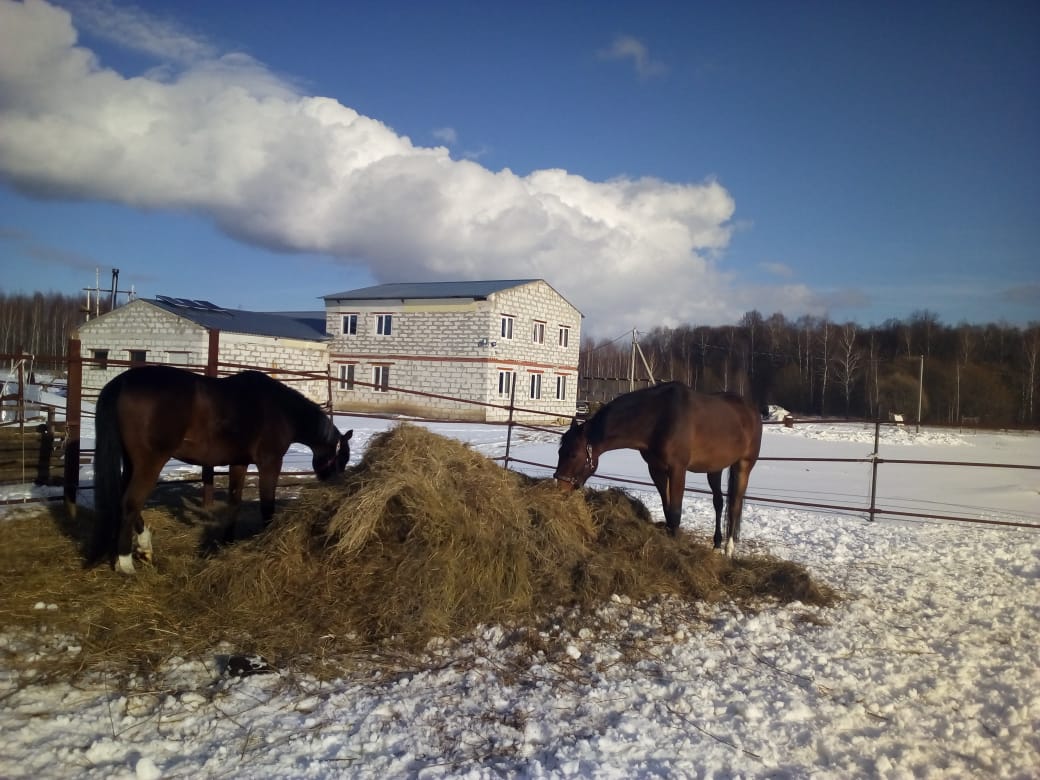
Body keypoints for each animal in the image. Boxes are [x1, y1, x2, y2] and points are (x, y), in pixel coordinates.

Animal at [92, 365, 353, 573]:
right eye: (341, 460)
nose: (335, 486)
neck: (282, 410)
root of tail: (122, 382)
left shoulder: (239, 462)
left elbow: (234, 503)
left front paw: (227, 542)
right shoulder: (270, 463)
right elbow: (267, 506)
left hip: (132, 462)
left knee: (125, 501)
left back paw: (144, 548)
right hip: (150, 463)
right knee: (131, 503)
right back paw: (126, 565)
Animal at [554, 382, 762, 556]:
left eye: (573, 454)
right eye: (559, 451)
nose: (560, 487)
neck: (659, 418)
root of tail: (751, 409)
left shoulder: (677, 469)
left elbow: (676, 512)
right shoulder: (656, 470)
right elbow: (667, 509)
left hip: (744, 465)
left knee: (735, 504)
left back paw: (729, 549)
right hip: (714, 468)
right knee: (719, 502)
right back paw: (717, 545)